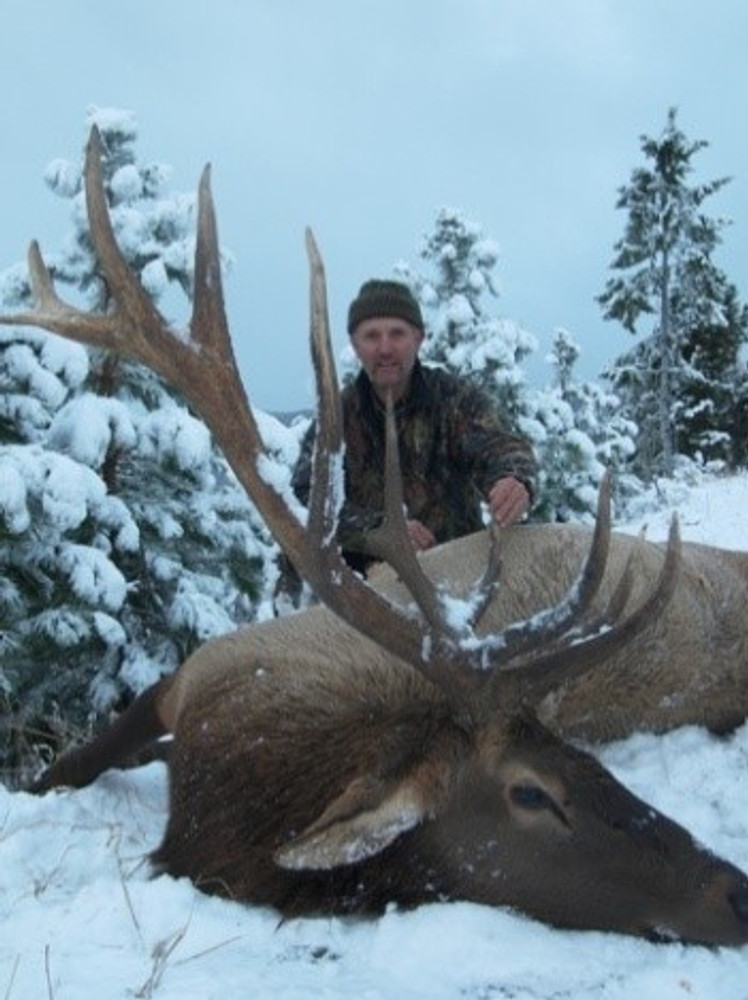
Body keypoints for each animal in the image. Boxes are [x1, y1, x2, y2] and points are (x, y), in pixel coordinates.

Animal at [0, 129, 744, 948]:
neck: (227, 755)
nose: (736, 891)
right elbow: (66, 766)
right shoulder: (186, 677)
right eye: (533, 792)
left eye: (592, 761)